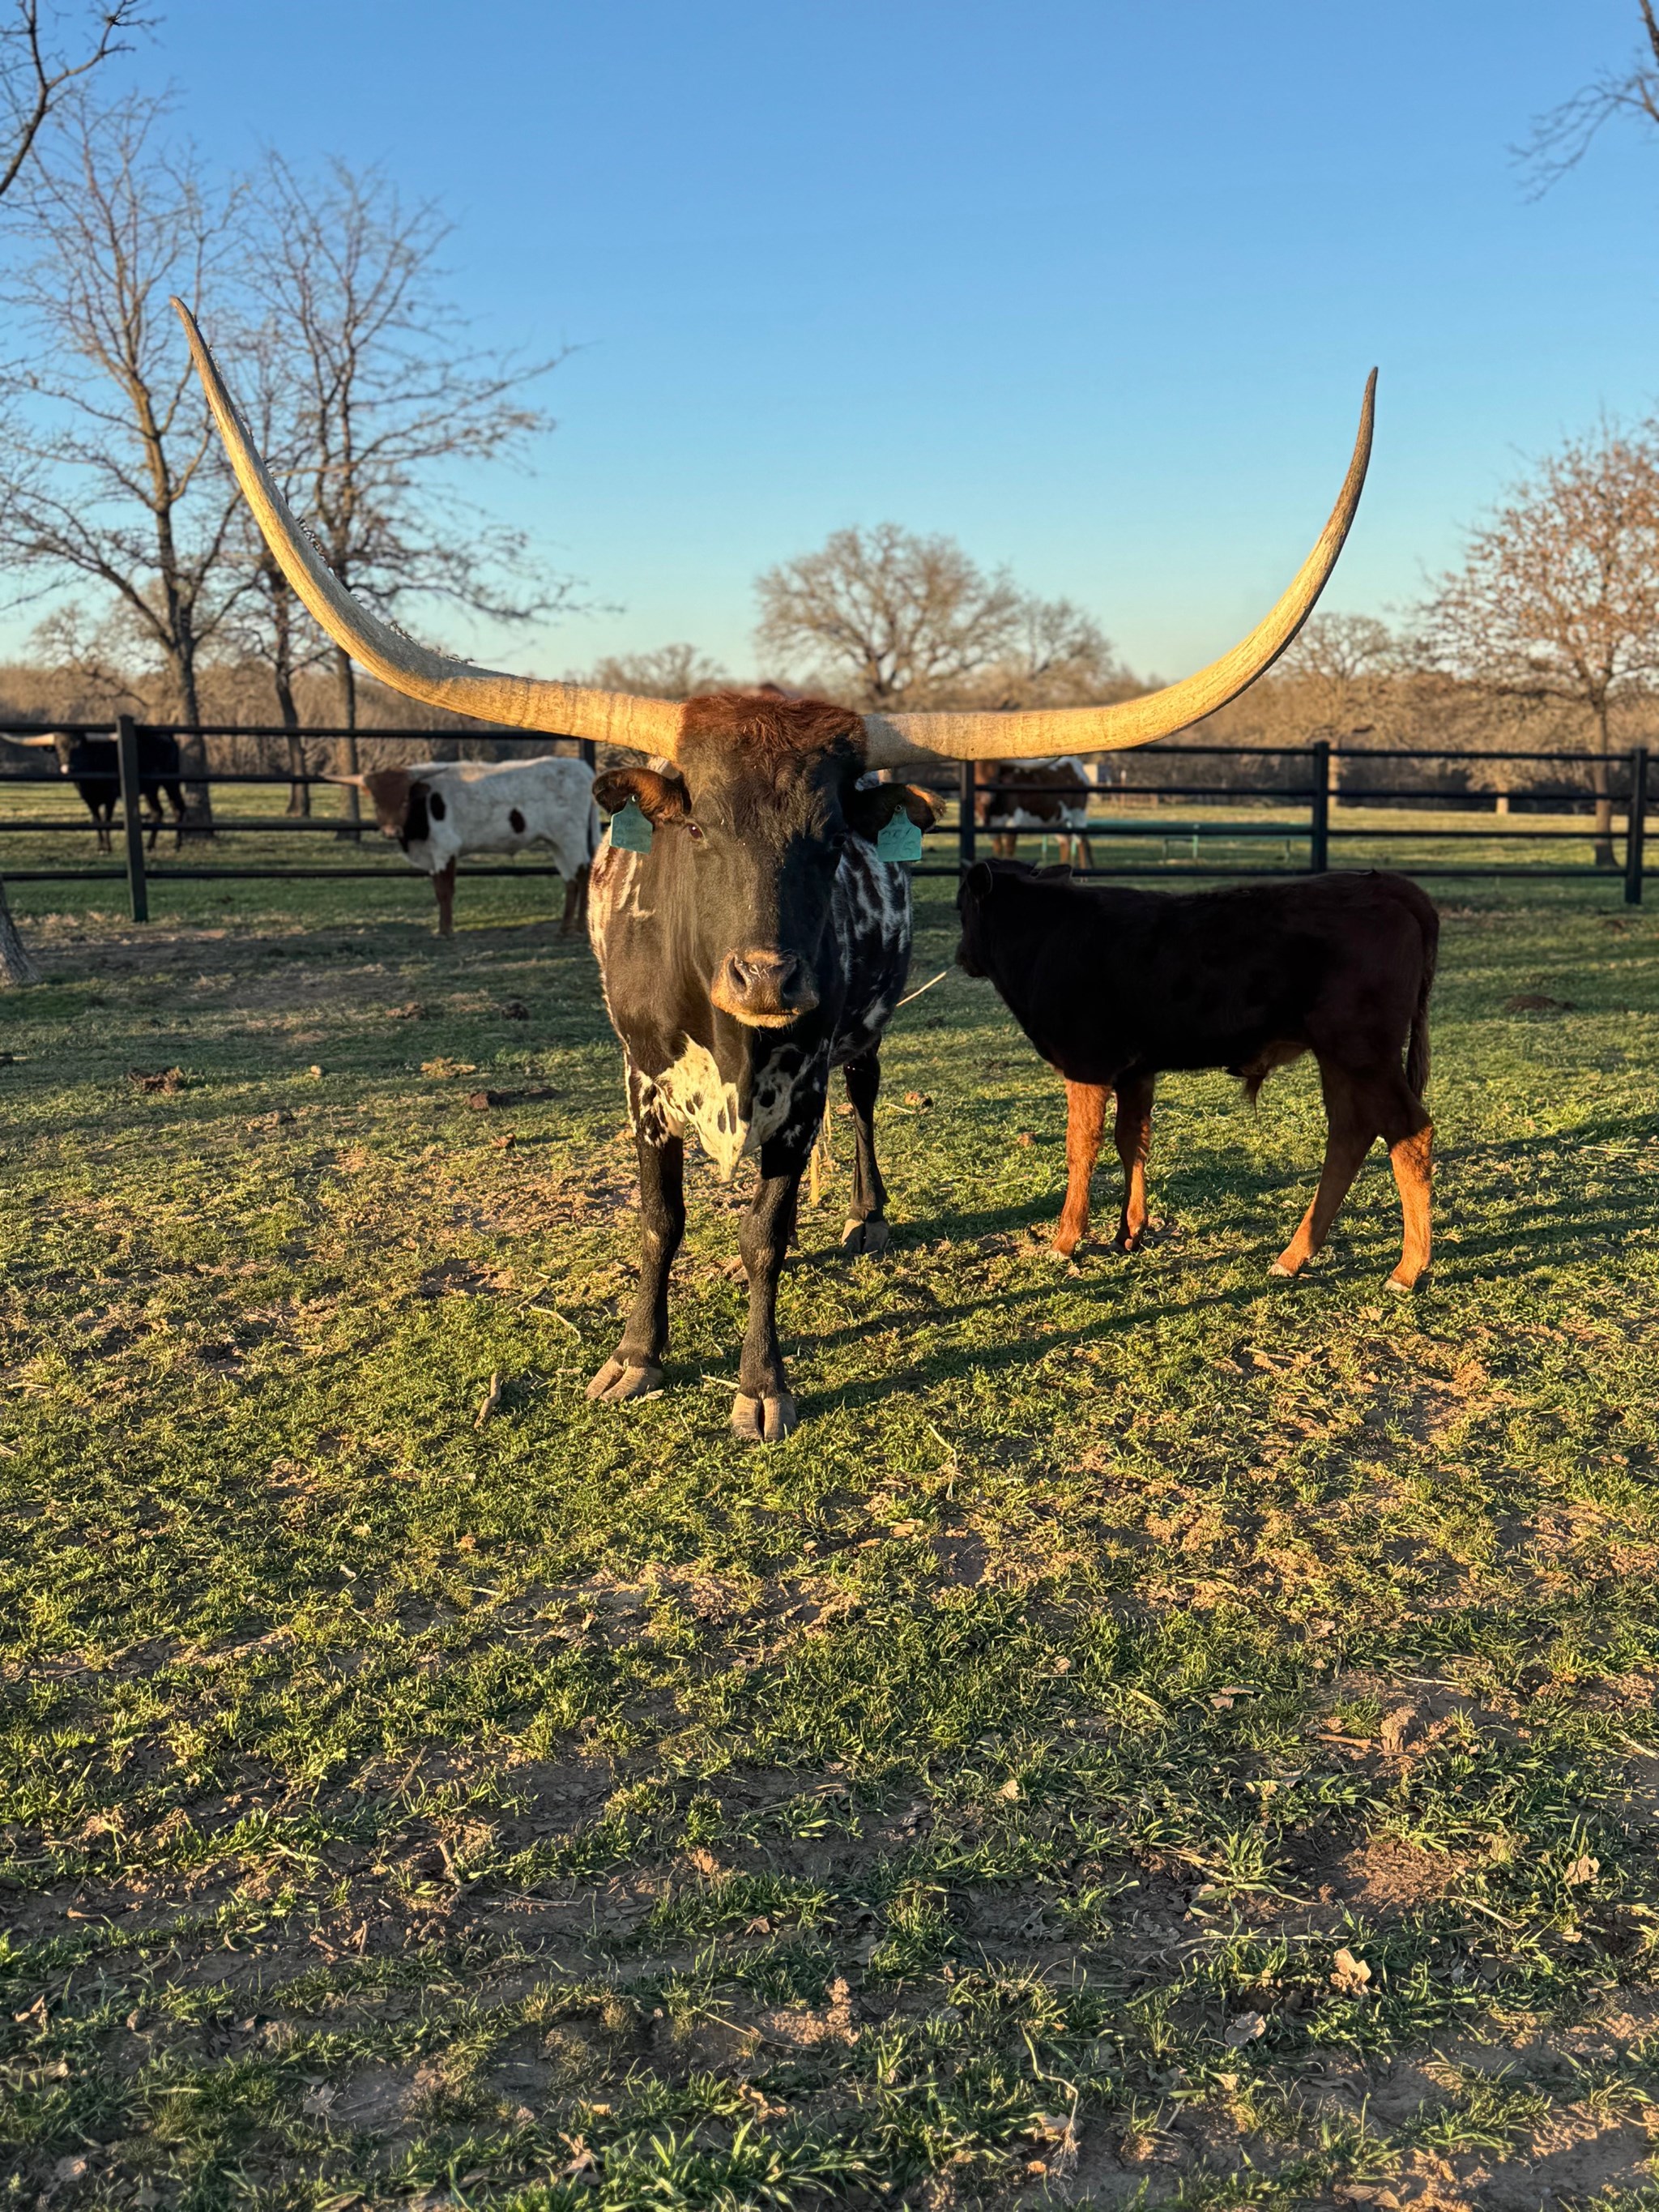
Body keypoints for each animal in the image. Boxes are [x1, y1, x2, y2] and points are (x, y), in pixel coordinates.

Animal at [16, 729, 187, 851]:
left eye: (79, 748)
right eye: (59, 748)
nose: (68, 768)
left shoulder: (110, 797)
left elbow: (106, 820)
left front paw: (108, 848)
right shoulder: (89, 799)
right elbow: (97, 821)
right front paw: (101, 847)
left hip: (170, 782)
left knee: (178, 807)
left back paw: (177, 845)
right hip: (150, 789)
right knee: (157, 811)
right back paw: (150, 846)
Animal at [330, 753, 599, 936]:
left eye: (405, 800)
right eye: (376, 802)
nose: (390, 831)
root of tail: (582, 769)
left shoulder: (445, 848)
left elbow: (445, 890)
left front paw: (445, 931)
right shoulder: (431, 855)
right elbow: (438, 891)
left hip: (571, 837)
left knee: (583, 873)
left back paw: (578, 927)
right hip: (556, 842)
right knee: (571, 879)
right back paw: (566, 927)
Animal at [955, 861, 1438, 1290]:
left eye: (961, 909)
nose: (961, 957)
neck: (1046, 937)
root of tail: (1384, 883)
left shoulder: (1087, 1065)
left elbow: (1081, 1146)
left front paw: (1065, 1240)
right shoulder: (1136, 1071)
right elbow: (1132, 1140)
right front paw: (1129, 1232)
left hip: (1362, 1052)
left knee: (1408, 1131)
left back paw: (1407, 1269)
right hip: (1339, 1058)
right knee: (1351, 1133)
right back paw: (1294, 1256)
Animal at [978, 755, 1095, 868]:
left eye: (996, 774)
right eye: (976, 774)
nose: (985, 798)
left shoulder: (1013, 823)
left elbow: (1009, 851)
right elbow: (997, 850)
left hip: (1078, 815)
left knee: (1081, 842)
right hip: (1058, 821)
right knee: (1065, 843)